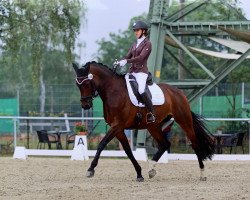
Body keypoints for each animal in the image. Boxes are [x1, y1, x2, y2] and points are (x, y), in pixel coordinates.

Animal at [72, 60, 215, 181]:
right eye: (77, 84)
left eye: (86, 83)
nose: (85, 105)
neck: (113, 91)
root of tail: (179, 93)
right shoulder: (118, 129)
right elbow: (128, 151)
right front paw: (139, 173)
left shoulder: (117, 126)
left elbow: (102, 144)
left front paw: (90, 169)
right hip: (153, 126)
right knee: (165, 144)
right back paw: (151, 170)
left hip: (184, 120)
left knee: (195, 143)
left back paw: (202, 173)